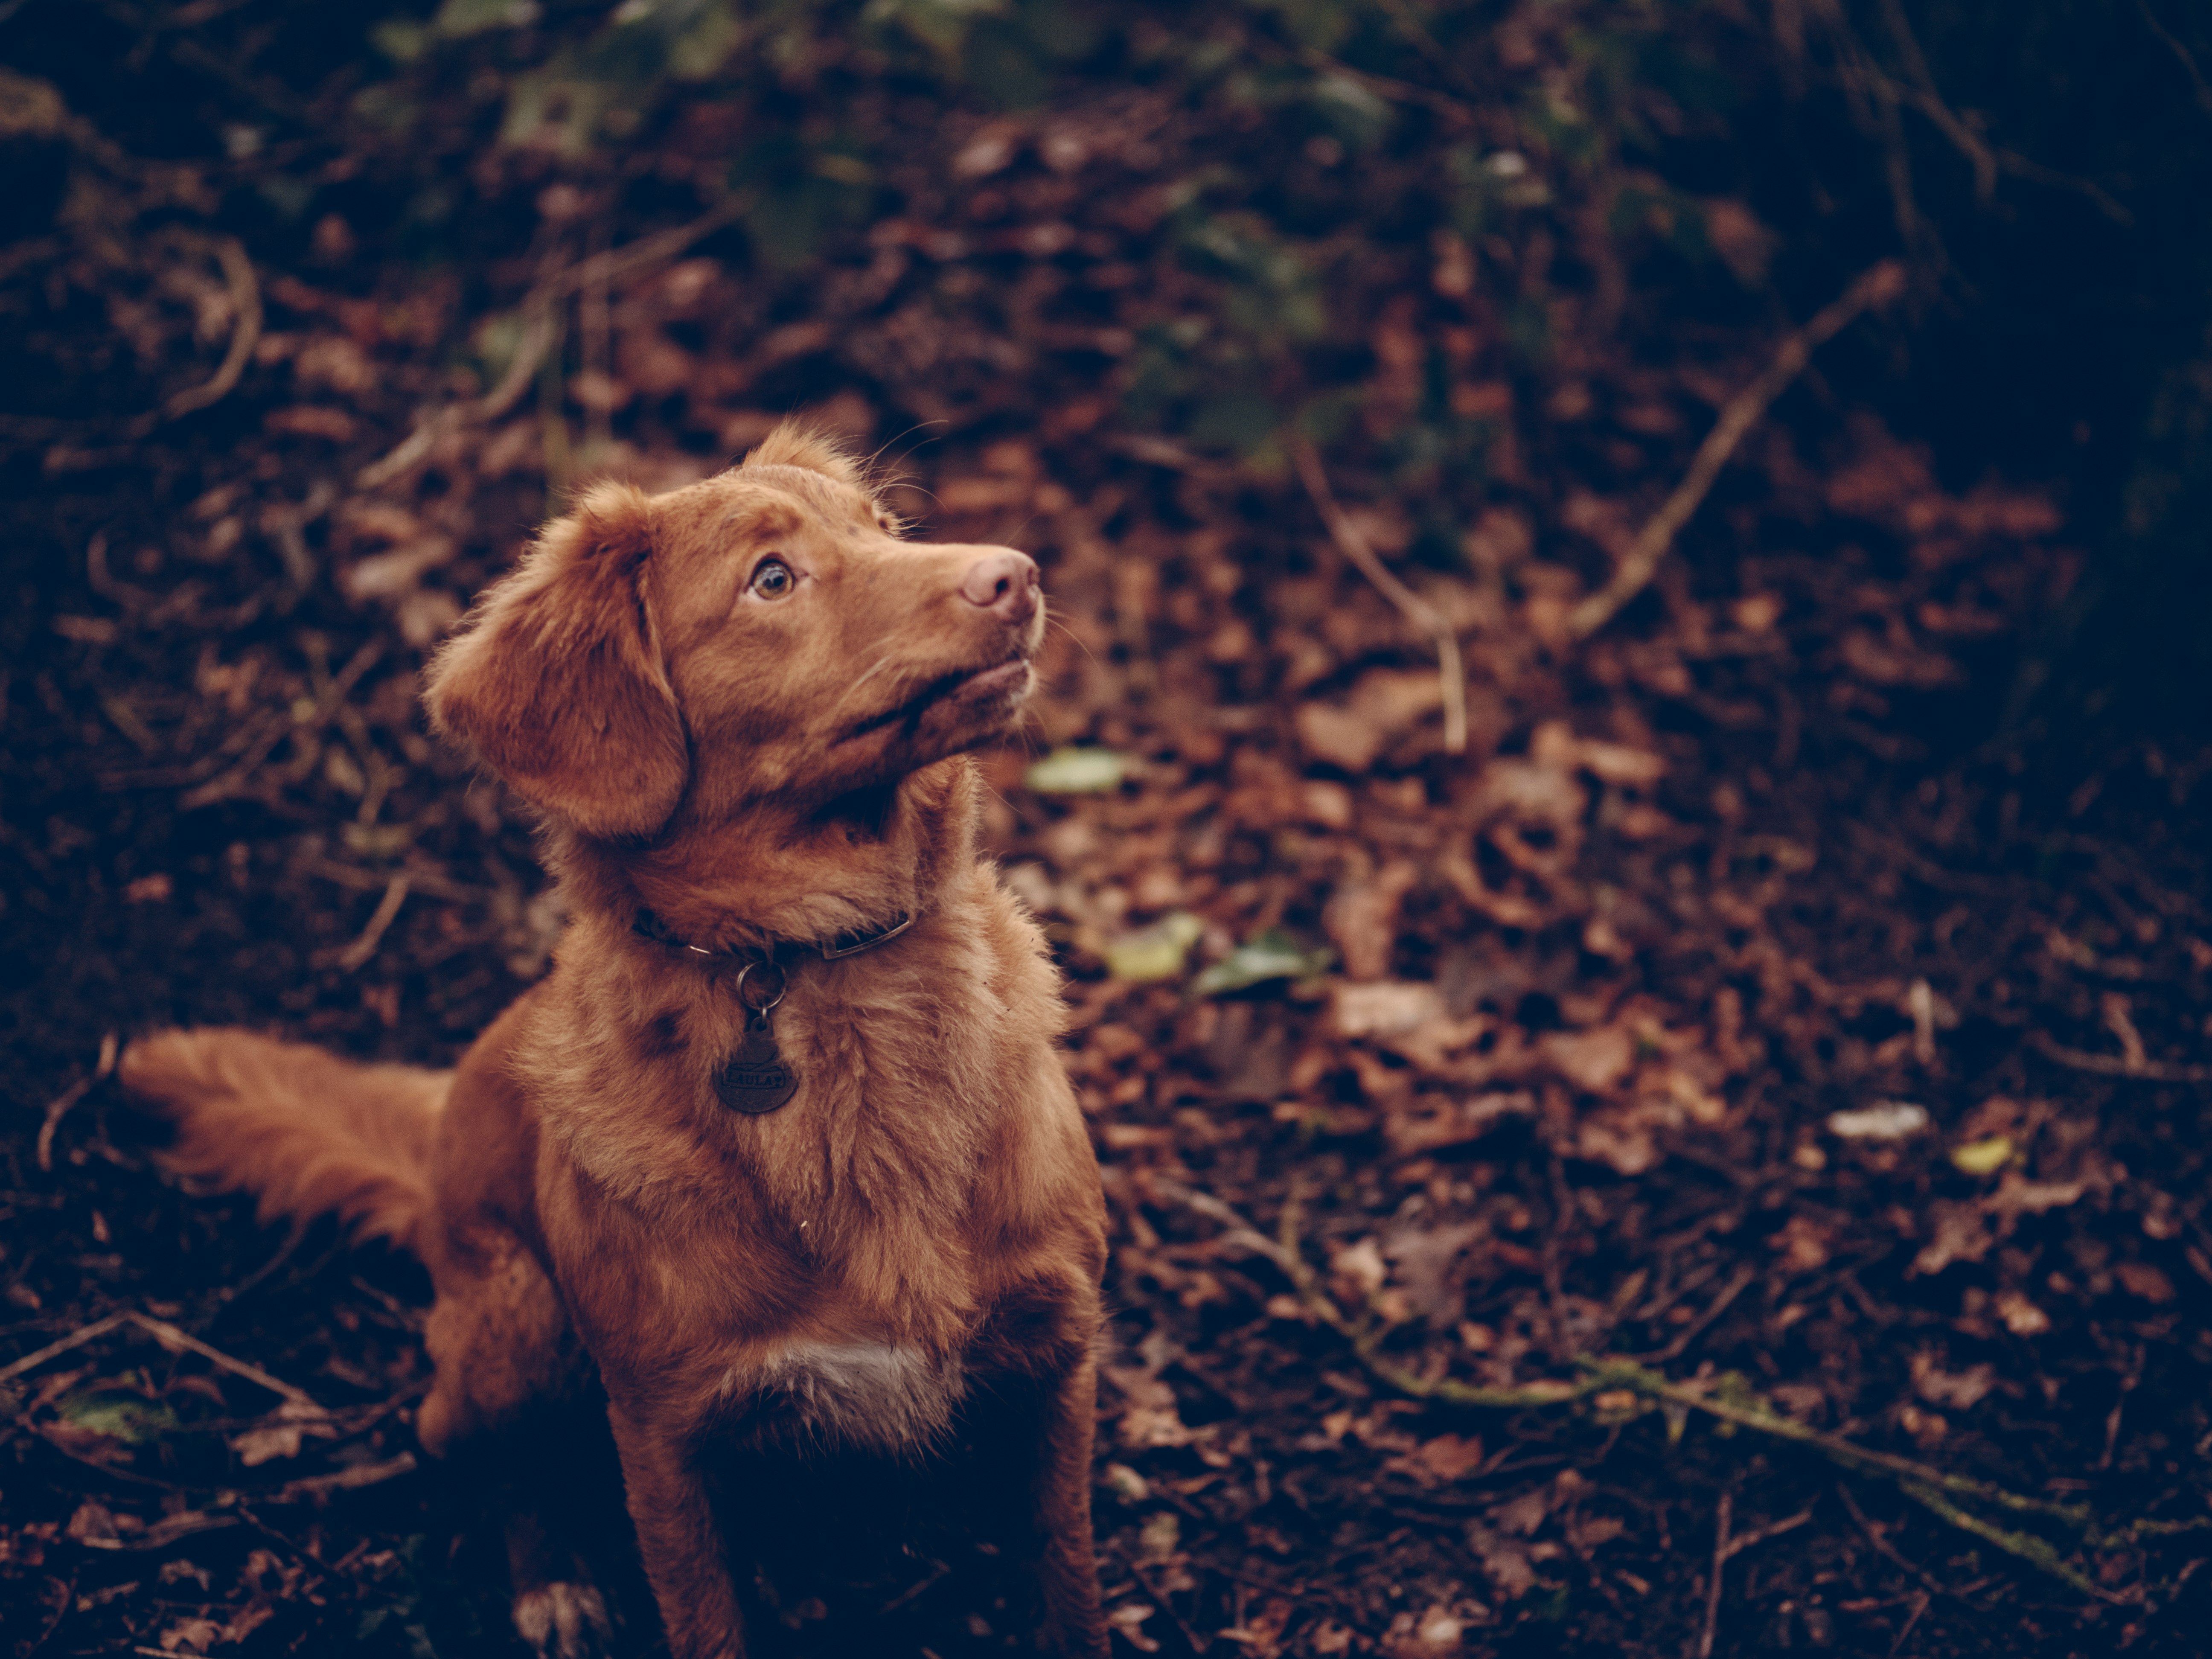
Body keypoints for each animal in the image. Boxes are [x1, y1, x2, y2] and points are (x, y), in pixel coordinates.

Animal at [121, 431, 1115, 1659]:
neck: (826, 972)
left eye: (884, 528)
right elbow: (704, 1618)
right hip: (514, 1329)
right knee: (490, 1464)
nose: (1015, 576)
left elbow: (1067, 1581)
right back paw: (552, 1586)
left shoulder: (1060, 1360)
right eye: (771, 579)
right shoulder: (661, 1426)